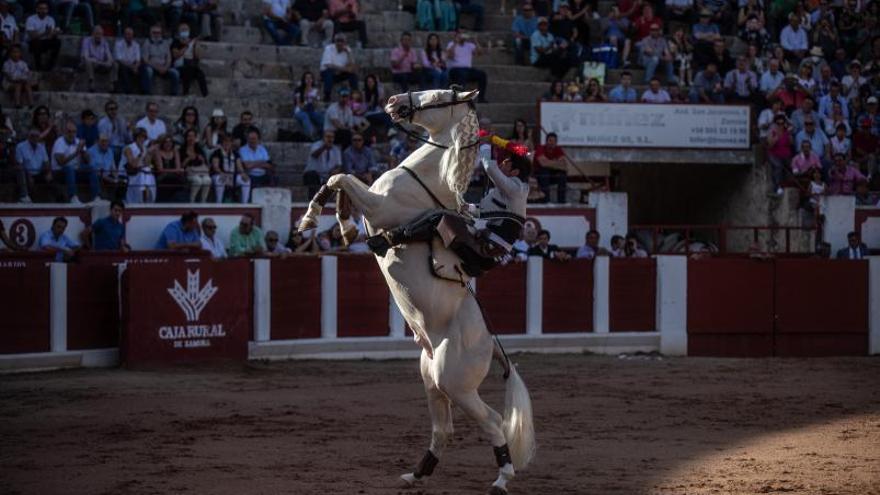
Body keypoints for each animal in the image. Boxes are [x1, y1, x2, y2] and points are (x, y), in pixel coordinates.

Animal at [300, 88, 540, 492]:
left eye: (443, 94)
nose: (393, 101)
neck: (425, 178)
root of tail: (491, 344)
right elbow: (338, 179)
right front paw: (340, 226)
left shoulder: (379, 207)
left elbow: (341, 177)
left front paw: (316, 220)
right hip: (432, 380)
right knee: (445, 428)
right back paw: (416, 473)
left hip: (454, 384)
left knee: (492, 422)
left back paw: (501, 479)